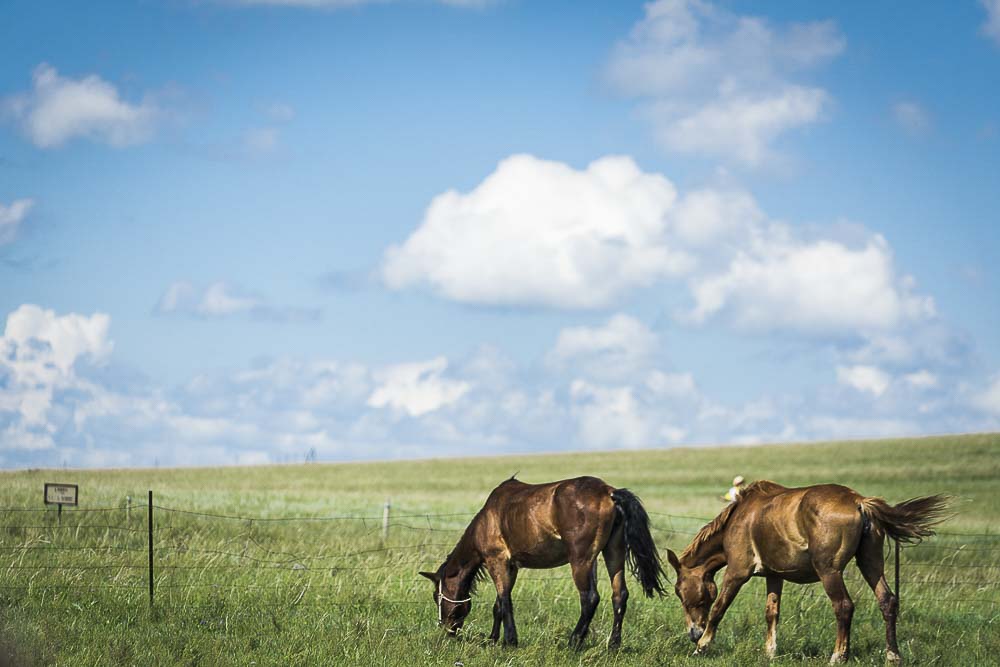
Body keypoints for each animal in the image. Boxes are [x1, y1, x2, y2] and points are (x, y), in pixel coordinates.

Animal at [416, 474, 664, 652]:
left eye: (436, 596)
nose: (448, 630)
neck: (488, 518)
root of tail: (609, 492)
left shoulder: (497, 560)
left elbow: (504, 601)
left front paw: (509, 641)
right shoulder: (511, 566)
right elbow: (498, 605)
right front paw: (494, 639)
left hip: (581, 560)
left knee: (590, 598)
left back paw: (573, 642)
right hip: (613, 552)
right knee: (619, 595)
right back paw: (613, 645)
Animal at [668, 482, 948, 664]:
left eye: (681, 593)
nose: (693, 634)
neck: (741, 516)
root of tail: (859, 502)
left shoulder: (737, 572)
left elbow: (719, 609)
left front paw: (702, 646)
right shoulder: (774, 576)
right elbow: (771, 613)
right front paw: (770, 652)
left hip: (829, 571)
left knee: (844, 606)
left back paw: (838, 656)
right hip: (871, 564)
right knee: (887, 601)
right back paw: (893, 655)